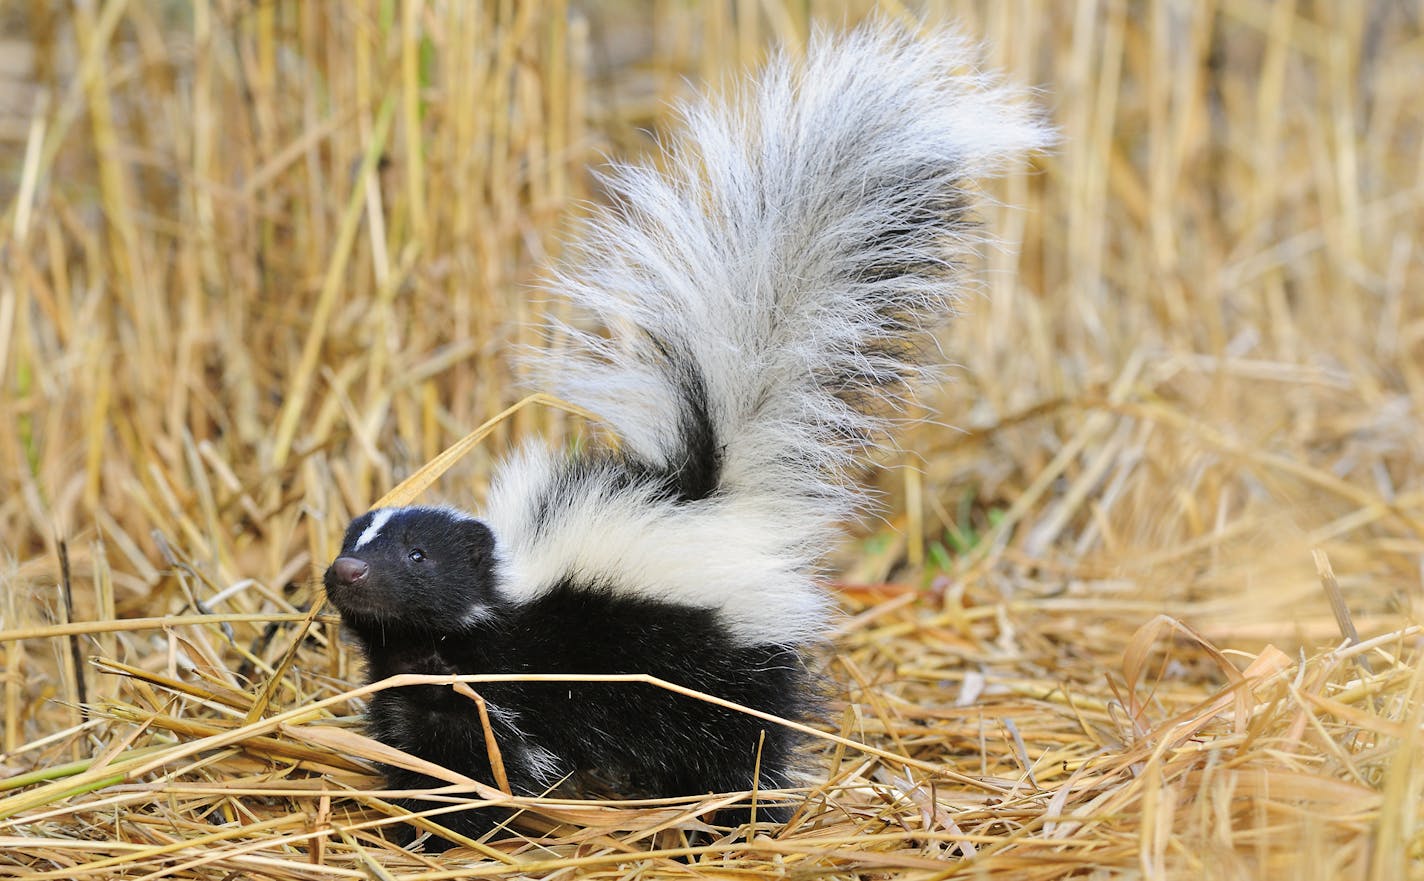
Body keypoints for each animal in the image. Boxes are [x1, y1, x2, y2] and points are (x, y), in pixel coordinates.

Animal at [327, 22, 1053, 848]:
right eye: (351, 541)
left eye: (417, 555)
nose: (347, 571)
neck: (462, 627)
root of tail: (722, 496)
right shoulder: (416, 686)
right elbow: (423, 749)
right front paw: (419, 821)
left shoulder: (505, 679)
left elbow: (491, 755)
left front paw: (473, 822)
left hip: (723, 659)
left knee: (741, 740)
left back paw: (736, 817)